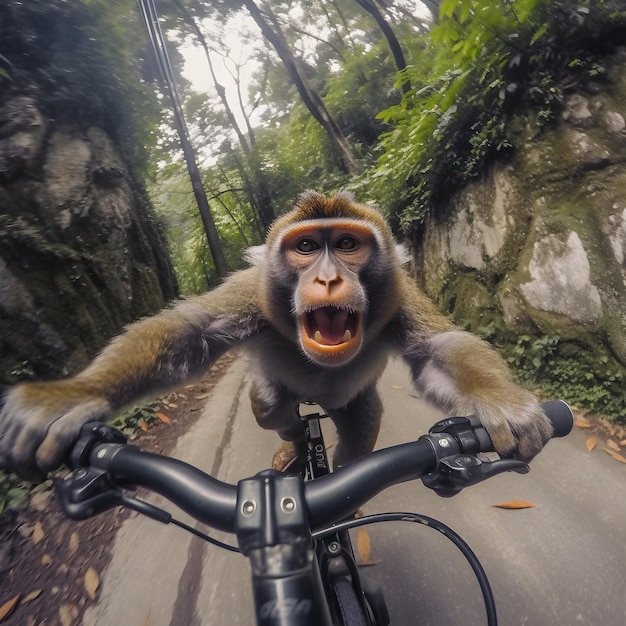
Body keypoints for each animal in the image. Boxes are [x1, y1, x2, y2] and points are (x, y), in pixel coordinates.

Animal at [0, 190, 552, 478]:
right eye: (306, 247)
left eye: (346, 244)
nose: (327, 278)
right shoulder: (254, 293)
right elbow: (191, 332)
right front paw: (77, 395)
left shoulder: (399, 296)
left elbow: (438, 349)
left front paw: (500, 402)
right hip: (277, 395)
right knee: (270, 407)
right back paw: (290, 441)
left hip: (351, 405)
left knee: (361, 424)